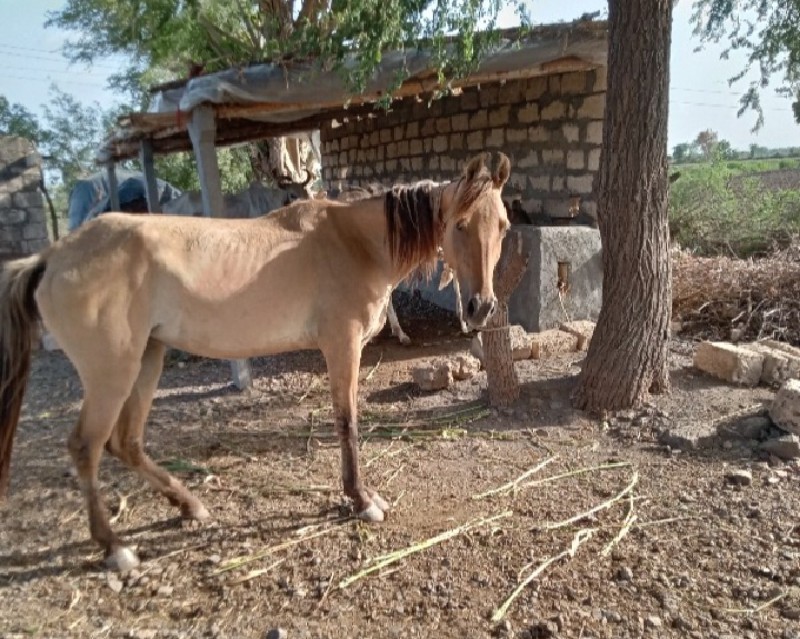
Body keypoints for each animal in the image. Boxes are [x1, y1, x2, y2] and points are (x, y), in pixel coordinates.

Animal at [0, 152, 510, 572]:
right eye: (460, 223)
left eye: (503, 225)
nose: (480, 307)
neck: (353, 242)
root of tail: (50, 257)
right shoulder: (342, 347)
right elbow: (346, 422)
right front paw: (361, 499)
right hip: (112, 372)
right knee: (86, 447)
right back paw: (115, 547)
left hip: (147, 359)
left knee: (126, 442)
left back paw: (189, 507)